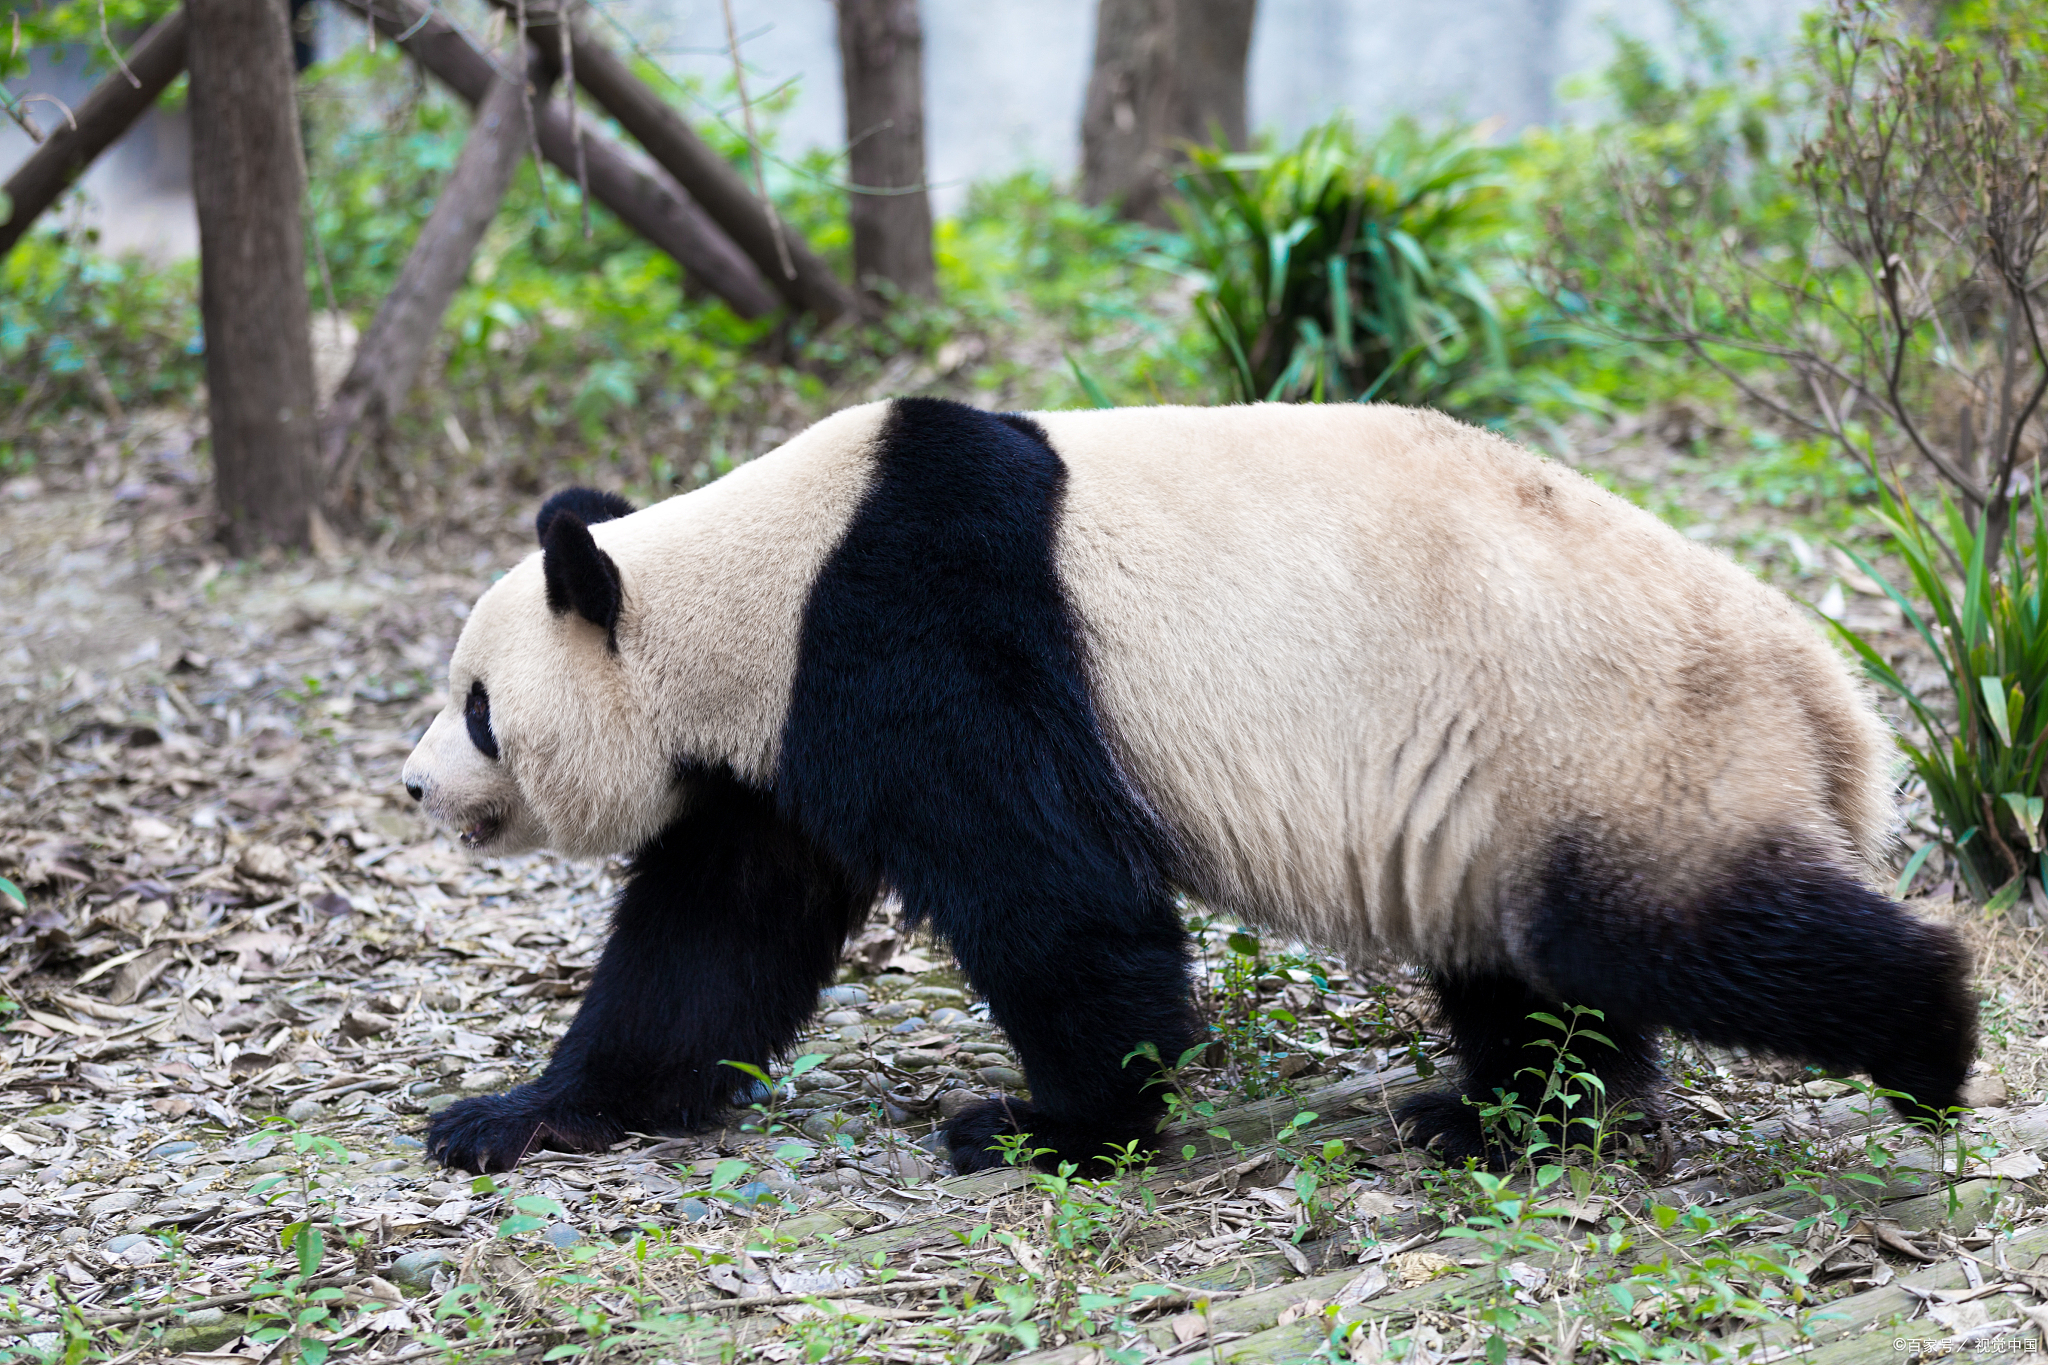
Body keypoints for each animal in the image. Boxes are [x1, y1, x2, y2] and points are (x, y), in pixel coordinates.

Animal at [391, 392, 1974, 1178]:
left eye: (478, 708)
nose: (411, 790)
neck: (750, 578)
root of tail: (1828, 696)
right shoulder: (774, 747)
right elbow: (714, 936)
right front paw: (519, 1115)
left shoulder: (915, 620)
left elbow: (1051, 889)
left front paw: (1056, 1128)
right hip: (1512, 788)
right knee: (1532, 968)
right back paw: (1507, 1120)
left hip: (1613, 735)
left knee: (1671, 928)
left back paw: (1931, 1043)